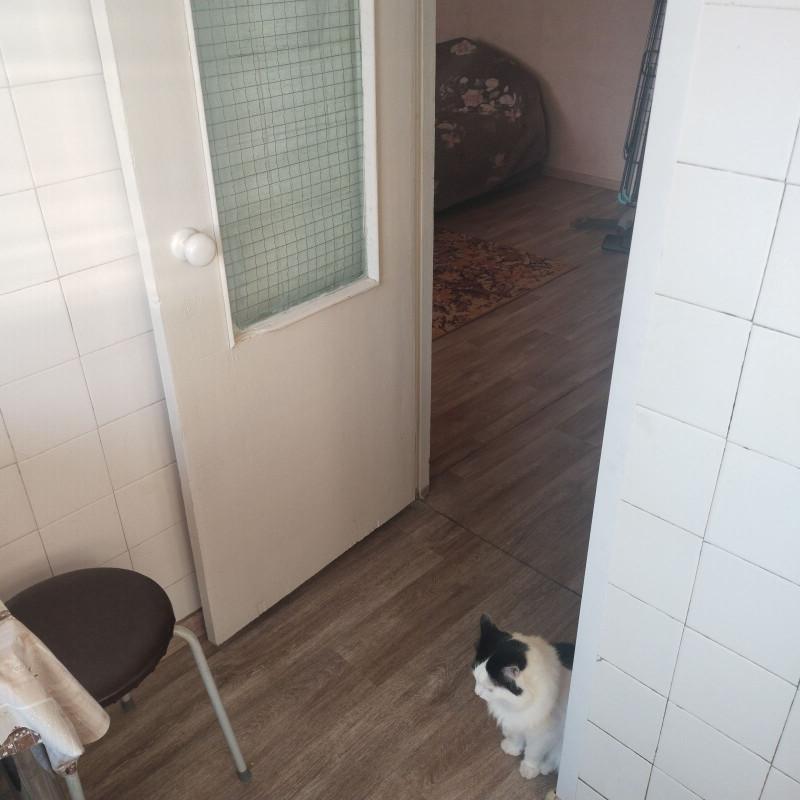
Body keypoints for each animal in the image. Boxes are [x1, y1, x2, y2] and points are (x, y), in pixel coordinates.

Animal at [472, 614, 574, 780]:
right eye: (475, 678)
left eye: (490, 689)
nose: (476, 692)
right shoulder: (515, 721)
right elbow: (516, 737)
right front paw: (512, 748)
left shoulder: (542, 733)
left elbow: (533, 752)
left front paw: (529, 768)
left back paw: (543, 768)